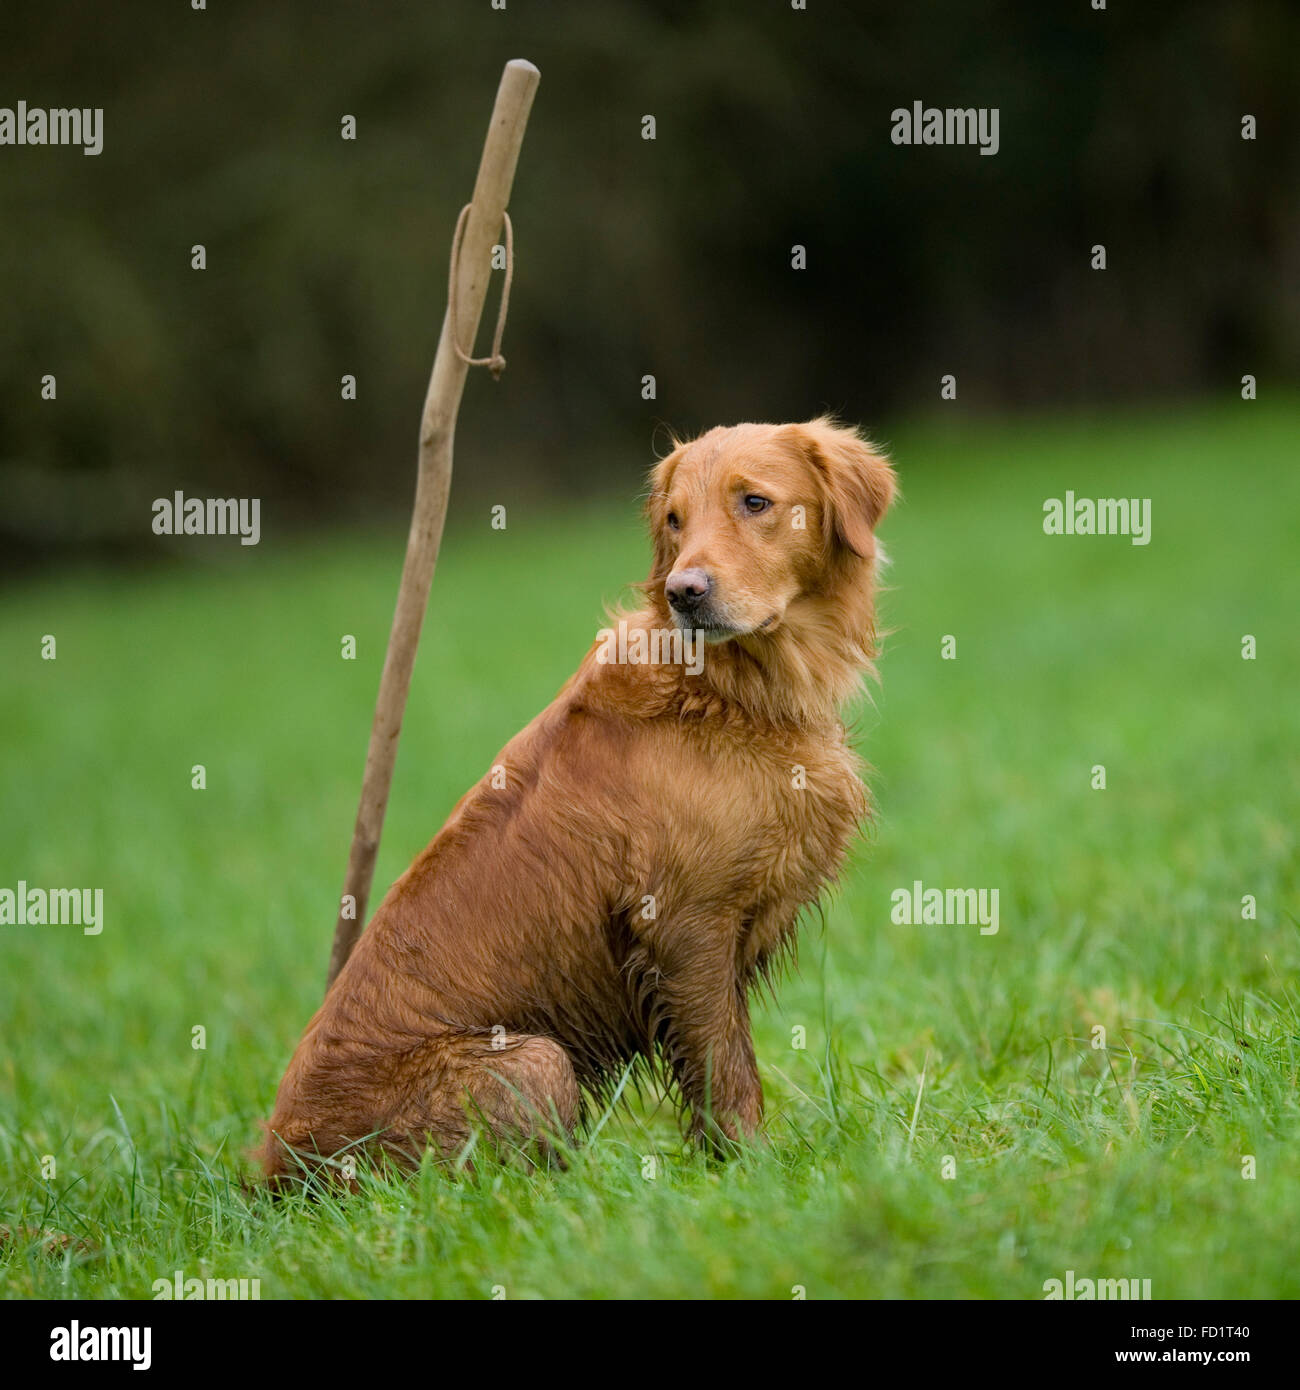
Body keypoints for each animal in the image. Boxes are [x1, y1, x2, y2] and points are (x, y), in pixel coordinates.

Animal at [260, 414, 900, 1184]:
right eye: (675, 520)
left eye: (755, 502)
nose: (684, 592)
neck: (725, 688)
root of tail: (270, 1171)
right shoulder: (685, 927)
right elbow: (727, 1071)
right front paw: (749, 1170)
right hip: (534, 1060)